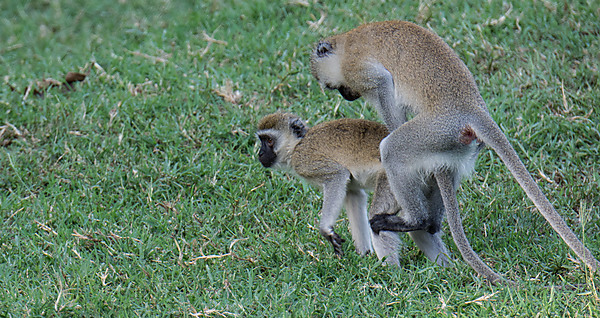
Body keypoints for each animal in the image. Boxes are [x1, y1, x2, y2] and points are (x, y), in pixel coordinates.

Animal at [255, 113, 406, 264]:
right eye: (261, 140)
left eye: (269, 140)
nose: (260, 153)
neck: (297, 145)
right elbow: (353, 195)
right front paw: (364, 255)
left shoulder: (303, 160)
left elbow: (337, 175)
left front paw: (325, 230)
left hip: (393, 180)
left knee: (376, 217)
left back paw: (390, 268)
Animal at [310, 20, 600, 284]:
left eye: (334, 87)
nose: (346, 95)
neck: (345, 41)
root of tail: (471, 108)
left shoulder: (357, 69)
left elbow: (383, 85)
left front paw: (391, 126)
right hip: (452, 144)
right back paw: (431, 224)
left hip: (436, 129)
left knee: (392, 150)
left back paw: (414, 220)